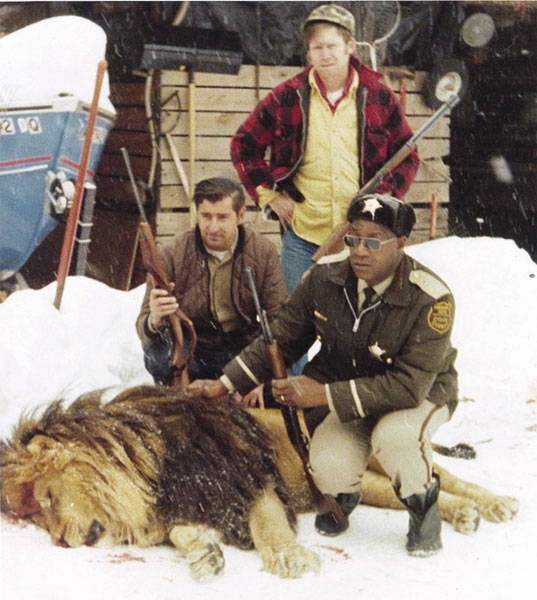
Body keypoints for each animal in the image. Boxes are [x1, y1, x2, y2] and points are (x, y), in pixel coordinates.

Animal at [0, 384, 516, 580]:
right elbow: (184, 533)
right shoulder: (180, 508)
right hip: (353, 481)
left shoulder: (248, 478)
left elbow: (267, 527)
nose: (60, 542)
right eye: (38, 519)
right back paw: (463, 515)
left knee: (444, 476)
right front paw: (206, 555)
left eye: (48, 499)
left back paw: (495, 504)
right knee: (420, 491)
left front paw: (289, 558)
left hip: (374, 455)